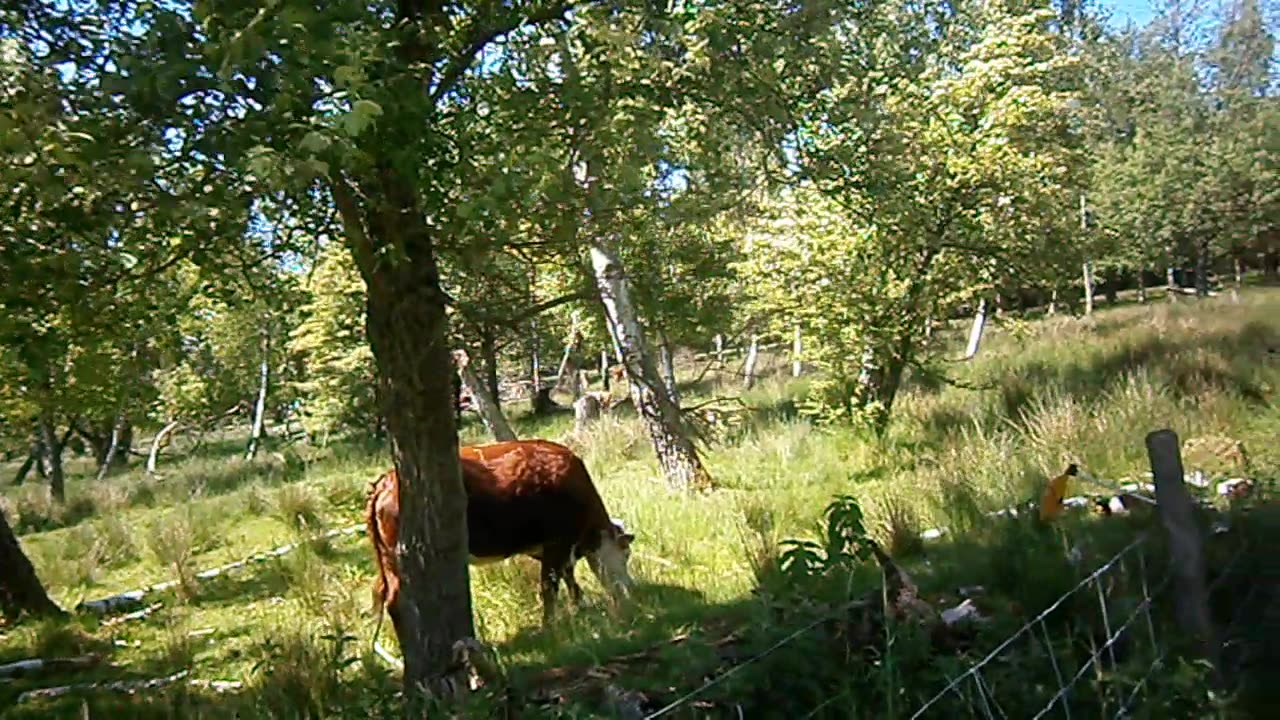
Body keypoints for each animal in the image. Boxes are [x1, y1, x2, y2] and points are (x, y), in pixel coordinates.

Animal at [366, 435, 634, 630]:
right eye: (626, 554)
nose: (630, 589)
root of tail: (387, 481)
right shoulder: (557, 543)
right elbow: (549, 587)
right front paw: (550, 626)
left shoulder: (549, 549)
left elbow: (568, 578)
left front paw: (580, 606)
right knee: (399, 603)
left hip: (387, 561)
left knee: (382, 594)